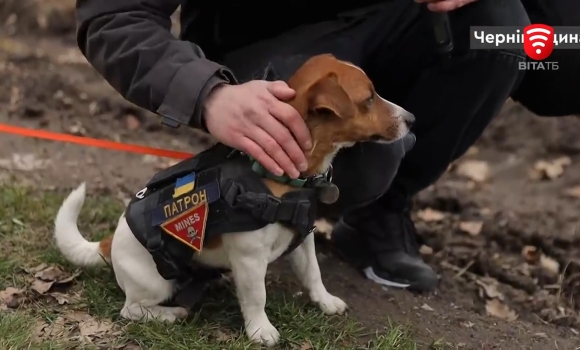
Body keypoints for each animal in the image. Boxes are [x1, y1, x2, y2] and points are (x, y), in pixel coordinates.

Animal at [51, 54, 412, 348]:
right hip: (154, 283)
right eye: (369, 98)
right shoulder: (250, 259)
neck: (285, 178)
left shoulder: (304, 239)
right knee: (132, 309)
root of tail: (110, 242)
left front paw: (325, 301)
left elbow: (313, 273)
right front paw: (261, 330)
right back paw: (169, 314)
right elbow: (256, 296)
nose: (412, 119)